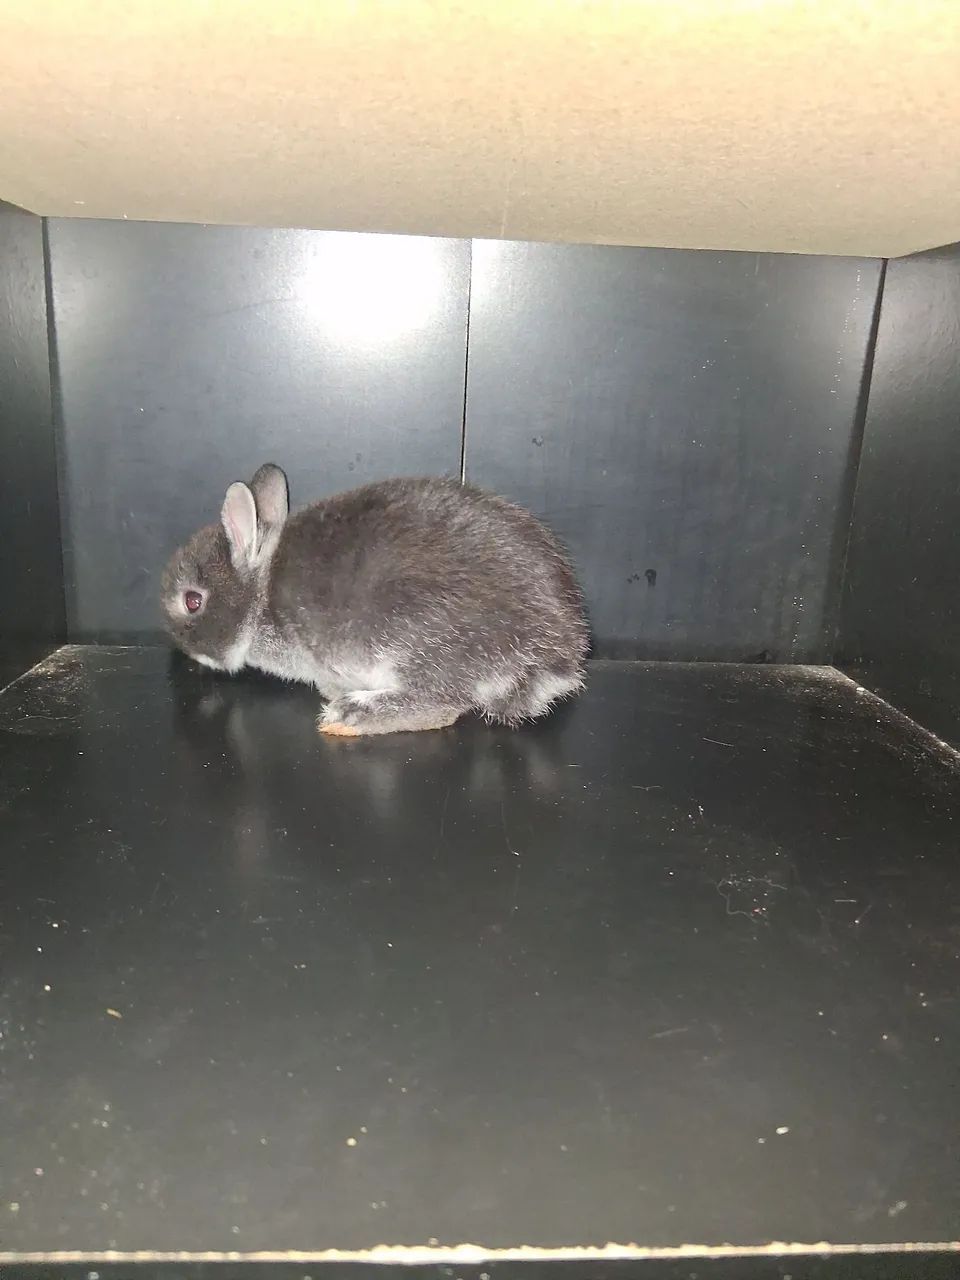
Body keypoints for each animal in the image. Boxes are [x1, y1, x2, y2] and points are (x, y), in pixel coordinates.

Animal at [161, 465, 588, 736]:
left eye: (193, 602)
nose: (187, 655)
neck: (260, 594)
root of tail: (559, 655)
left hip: (415, 640)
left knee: (443, 706)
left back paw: (351, 714)